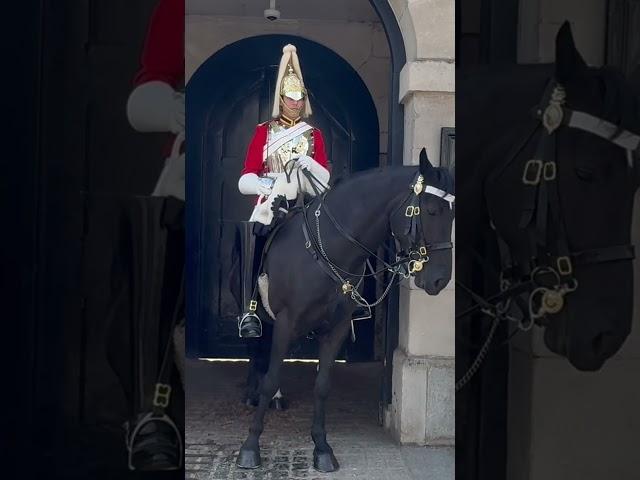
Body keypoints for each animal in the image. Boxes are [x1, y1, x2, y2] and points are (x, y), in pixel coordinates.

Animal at [236, 150, 456, 472]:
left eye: (452, 213)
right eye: (430, 210)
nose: (440, 280)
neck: (330, 246)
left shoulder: (337, 327)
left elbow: (322, 385)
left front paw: (322, 448)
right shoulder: (287, 322)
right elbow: (271, 379)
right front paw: (250, 446)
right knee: (256, 350)